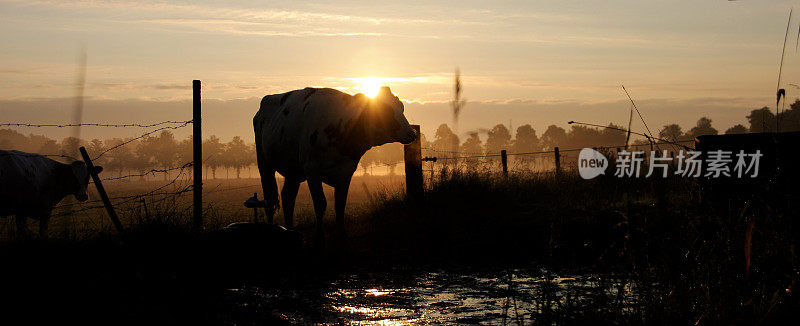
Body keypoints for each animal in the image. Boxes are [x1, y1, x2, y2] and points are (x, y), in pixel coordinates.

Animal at [255, 86, 418, 238]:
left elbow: (340, 204)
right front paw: (319, 234)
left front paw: (341, 233)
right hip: (264, 164)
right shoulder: (312, 170)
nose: (412, 133)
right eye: (385, 109)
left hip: (293, 171)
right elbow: (320, 203)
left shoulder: (346, 171)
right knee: (269, 199)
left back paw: (290, 229)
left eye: (401, 107)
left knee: (288, 197)